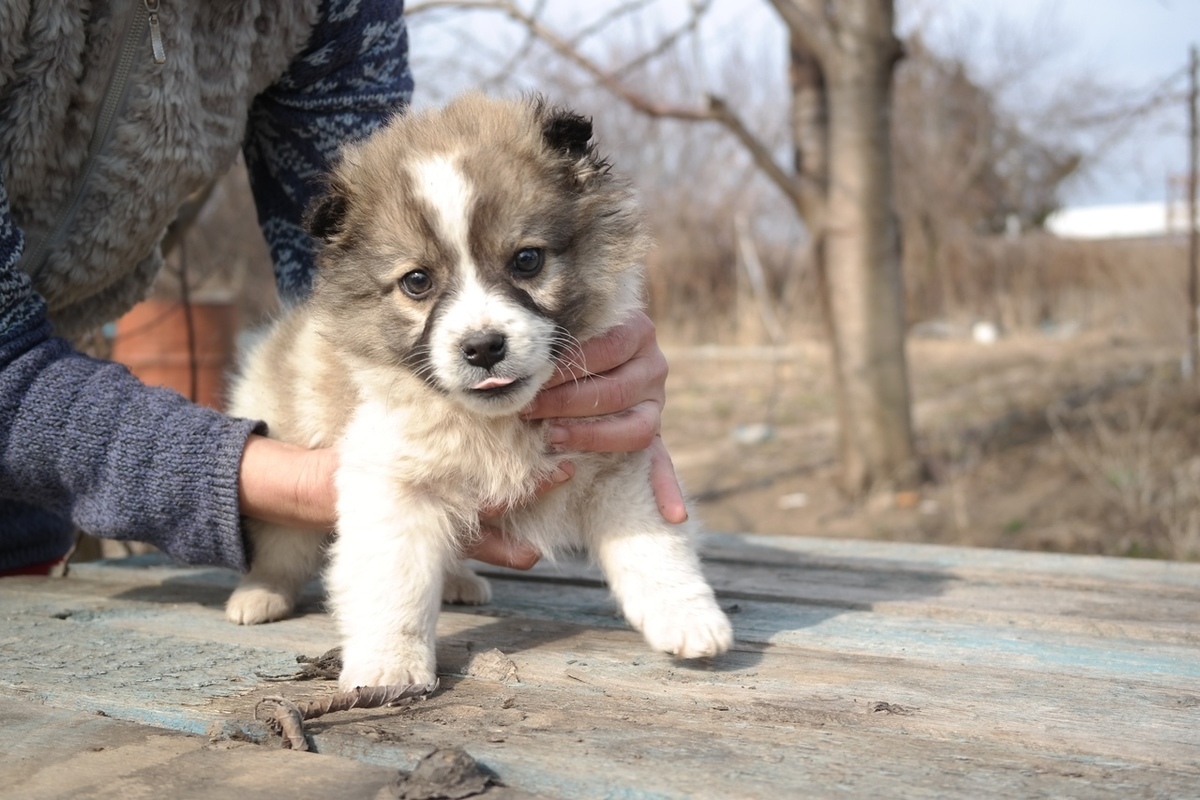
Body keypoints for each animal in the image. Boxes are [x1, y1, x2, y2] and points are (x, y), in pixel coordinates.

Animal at [224, 94, 729, 690]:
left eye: (527, 260)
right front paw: (389, 665)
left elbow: (654, 548)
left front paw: (689, 618)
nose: (484, 347)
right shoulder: (392, 485)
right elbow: (394, 585)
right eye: (417, 282)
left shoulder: (617, 461)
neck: (495, 423)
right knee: (280, 548)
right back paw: (259, 594)